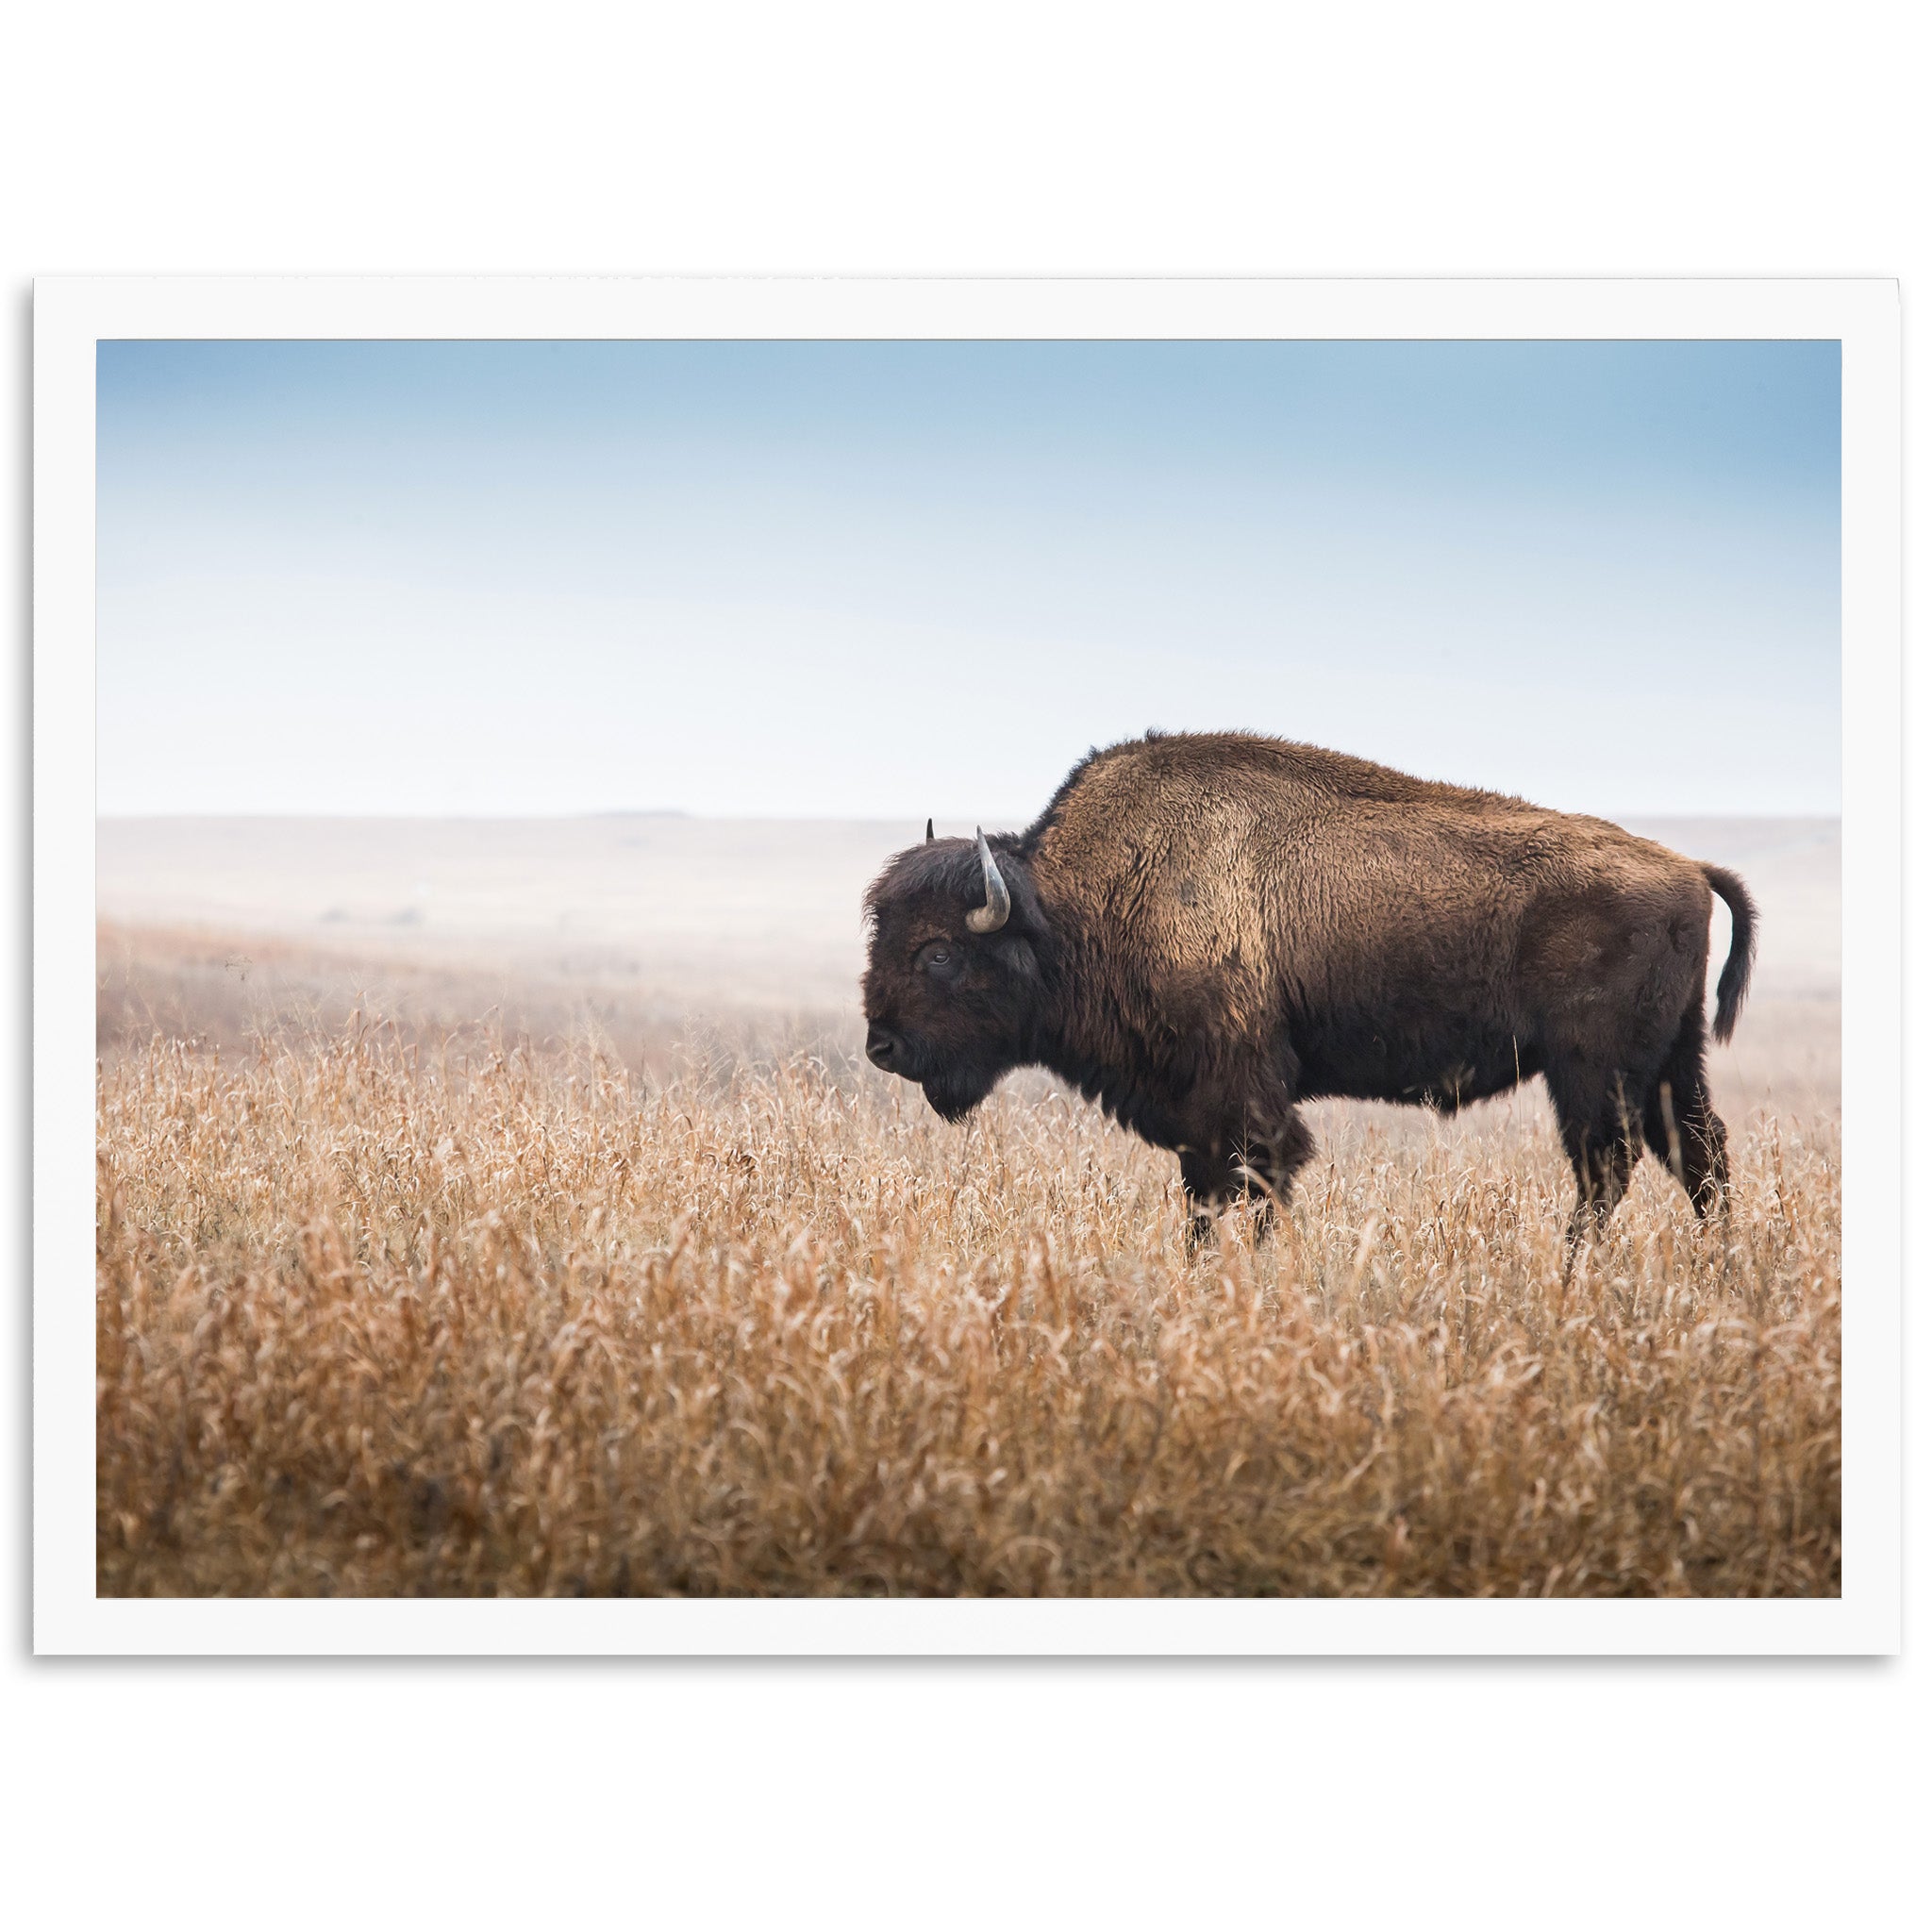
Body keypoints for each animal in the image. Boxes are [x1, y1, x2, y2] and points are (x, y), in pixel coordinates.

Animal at [861, 730, 1754, 1243]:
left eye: (938, 953)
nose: (881, 1047)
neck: (1072, 906)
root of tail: (1687, 868)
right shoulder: (1197, 1116)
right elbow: (1206, 1199)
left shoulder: (1241, 1098)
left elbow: (1253, 1185)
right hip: (1670, 1064)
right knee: (1700, 1159)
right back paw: (1718, 1272)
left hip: (1592, 1072)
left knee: (1608, 1170)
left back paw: (1574, 1274)